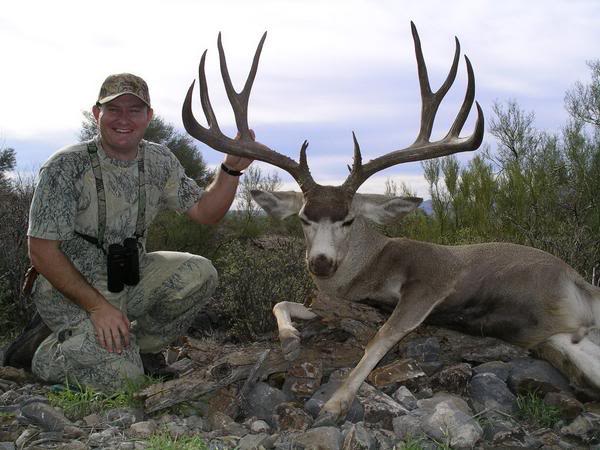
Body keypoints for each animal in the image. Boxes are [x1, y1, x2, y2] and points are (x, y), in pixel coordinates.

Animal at [183, 23, 600, 426]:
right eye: (303, 218)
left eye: (349, 219)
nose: (321, 262)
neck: (368, 268)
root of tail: (577, 281)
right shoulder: (342, 301)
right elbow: (281, 302)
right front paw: (289, 339)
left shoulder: (431, 277)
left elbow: (382, 337)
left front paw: (335, 404)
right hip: (559, 338)